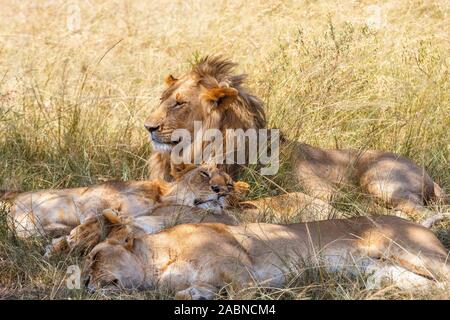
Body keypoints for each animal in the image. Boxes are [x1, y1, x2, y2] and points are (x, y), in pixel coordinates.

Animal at [146, 55, 448, 220]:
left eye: (179, 103)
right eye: (162, 99)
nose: (148, 126)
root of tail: (428, 175)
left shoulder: (326, 192)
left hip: (382, 181)